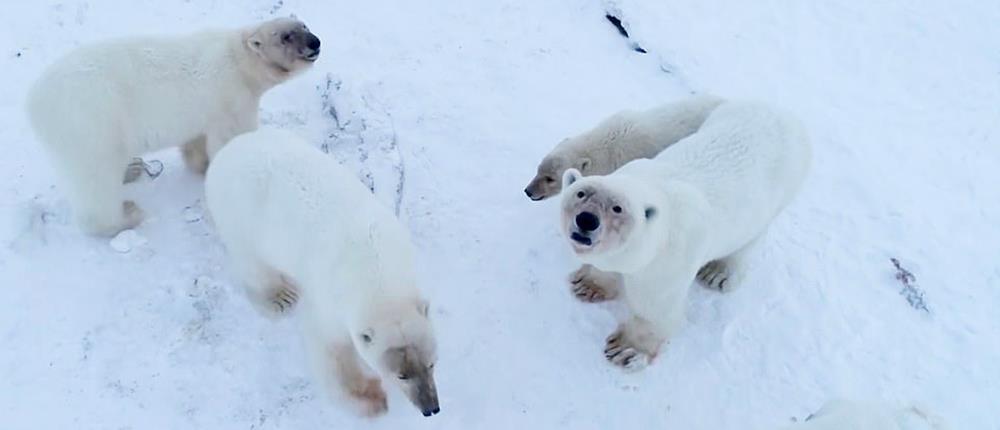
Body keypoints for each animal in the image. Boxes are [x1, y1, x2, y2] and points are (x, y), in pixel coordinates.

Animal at [27, 17, 318, 235]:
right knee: (95, 179)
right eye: (286, 36)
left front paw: (200, 163)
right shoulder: (232, 96)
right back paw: (126, 214)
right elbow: (231, 138)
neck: (239, 58)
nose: (315, 41)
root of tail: (34, 104)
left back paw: (131, 168)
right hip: (92, 122)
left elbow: (198, 140)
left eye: (304, 25)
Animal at [205, 129, 440, 418]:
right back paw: (280, 296)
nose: (431, 408)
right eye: (401, 375)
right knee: (253, 261)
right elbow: (330, 348)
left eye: (431, 364)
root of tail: (226, 152)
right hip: (240, 217)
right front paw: (371, 399)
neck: (376, 270)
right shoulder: (331, 300)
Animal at [560, 100, 808, 370]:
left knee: (750, 238)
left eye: (617, 208)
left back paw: (718, 274)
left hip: (781, 190)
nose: (586, 220)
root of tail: (785, 114)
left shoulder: (669, 261)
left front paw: (627, 349)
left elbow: (656, 307)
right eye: (581, 193)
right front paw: (587, 285)